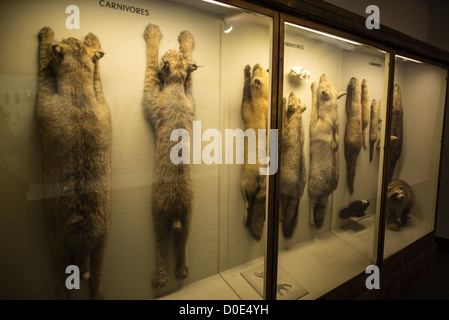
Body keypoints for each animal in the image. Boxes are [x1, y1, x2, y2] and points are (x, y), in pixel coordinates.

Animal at [35, 27, 111, 300]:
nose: (71, 36)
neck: (77, 84)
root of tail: (83, 242)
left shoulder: (42, 101)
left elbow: (43, 68)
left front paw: (46, 35)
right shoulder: (103, 103)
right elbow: (97, 76)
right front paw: (94, 44)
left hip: (56, 246)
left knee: (62, 284)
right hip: (102, 243)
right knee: (97, 280)